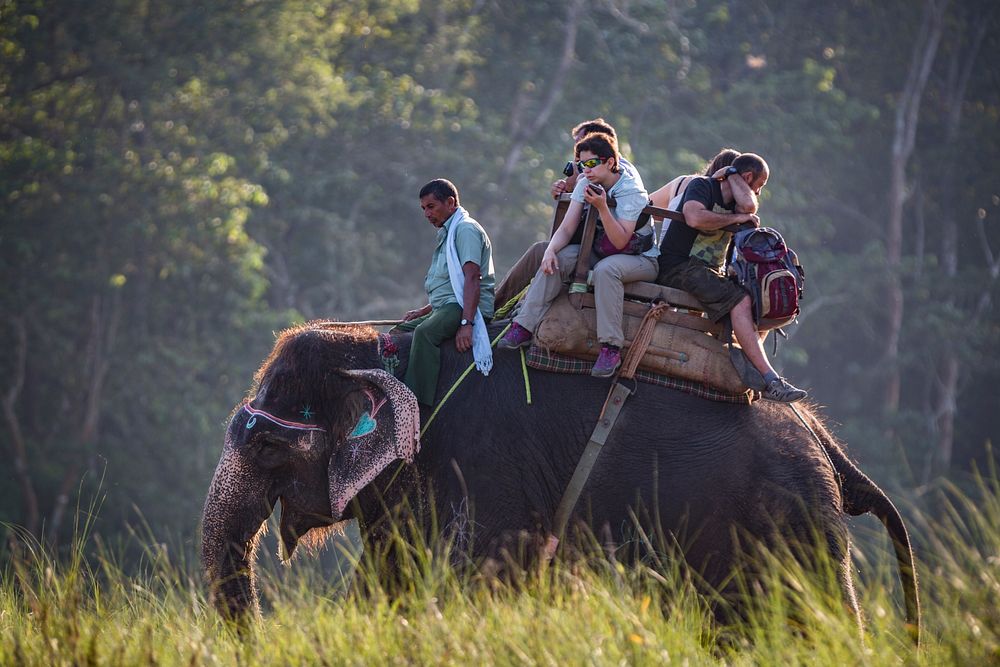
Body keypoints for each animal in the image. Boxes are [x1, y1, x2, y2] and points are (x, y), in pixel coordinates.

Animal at [201, 324, 920, 640]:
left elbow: (474, 577)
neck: (385, 343)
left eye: (265, 444)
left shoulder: (485, 464)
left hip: (791, 519)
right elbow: (390, 581)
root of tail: (823, 436)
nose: (257, 638)